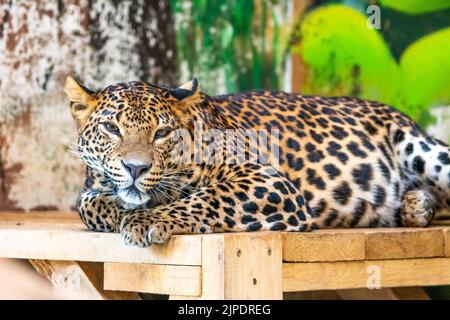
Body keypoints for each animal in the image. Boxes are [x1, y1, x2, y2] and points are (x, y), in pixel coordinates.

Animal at [65, 76, 450, 246]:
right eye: (111, 128)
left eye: (161, 133)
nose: (136, 168)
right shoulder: (90, 190)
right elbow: (93, 205)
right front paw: (130, 210)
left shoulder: (269, 182)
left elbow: (206, 198)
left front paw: (147, 219)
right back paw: (416, 205)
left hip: (424, 150)